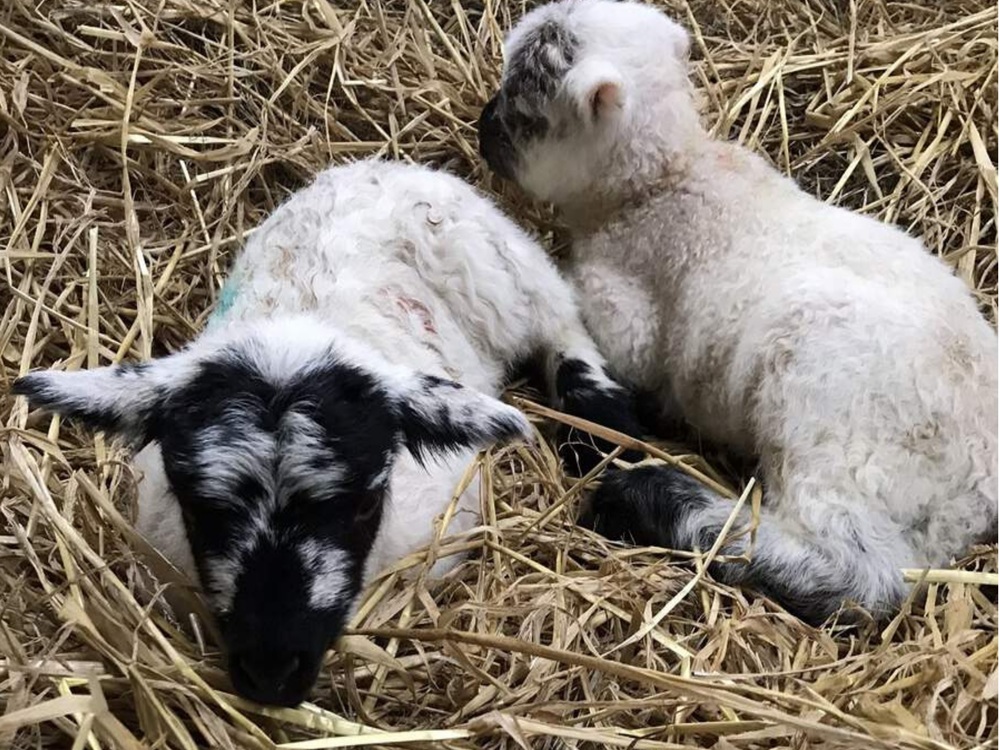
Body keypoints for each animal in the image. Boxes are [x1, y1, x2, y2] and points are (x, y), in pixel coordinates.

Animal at [13, 158, 644, 706]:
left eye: (366, 505)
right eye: (197, 506)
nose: (271, 672)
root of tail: (384, 165)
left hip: (508, 272)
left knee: (562, 326)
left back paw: (601, 428)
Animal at [477, 0, 999, 625]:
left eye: (525, 106)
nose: (482, 126)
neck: (664, 181)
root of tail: (977, 486)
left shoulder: (623, 315)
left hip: (838, 424)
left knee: (860, 573)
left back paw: (654, 501)